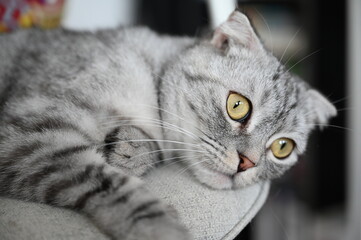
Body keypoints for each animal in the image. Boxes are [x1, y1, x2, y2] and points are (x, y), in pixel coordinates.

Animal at [0, 10, 334, 240]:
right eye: (237, 106)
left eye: (282, 147)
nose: (246, 163)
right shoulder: (33, 134)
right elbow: (115, 187)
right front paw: (162, 228)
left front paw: (131, 148)